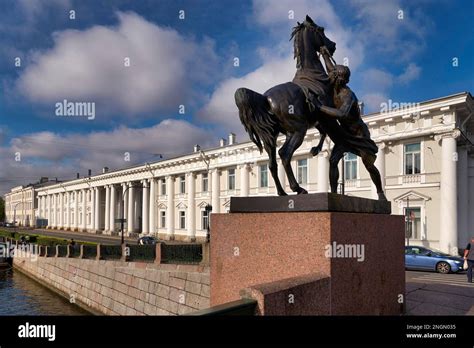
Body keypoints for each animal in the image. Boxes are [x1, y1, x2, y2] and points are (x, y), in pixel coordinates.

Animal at [235, 15, 338, 196]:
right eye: (321, 30)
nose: (332, 45)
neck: (313, 74)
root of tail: (265, 98)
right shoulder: (325, 115)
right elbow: (325, 131)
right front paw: (316, 149)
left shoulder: (316, 119)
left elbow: (323, 132)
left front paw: (315, 149)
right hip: (298, 130)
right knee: (285, 154)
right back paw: (298, 188)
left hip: (273, 137)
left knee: (272, 163)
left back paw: (282, 192)